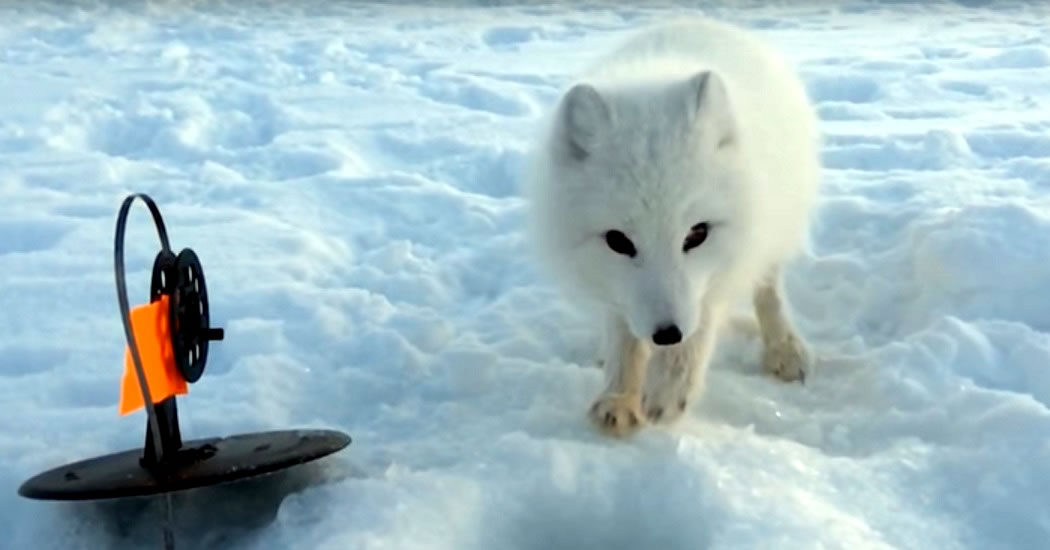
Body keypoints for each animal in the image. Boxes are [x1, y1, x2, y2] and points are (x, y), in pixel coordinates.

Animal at [520, 18, 823, 438]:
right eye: (617, 241)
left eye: (697, 234)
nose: (666, 334)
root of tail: (699, 19)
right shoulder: (618, 290)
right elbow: (623, 335)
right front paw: (620, 396)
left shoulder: (718, 274)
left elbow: (698, 330)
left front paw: (668, 389)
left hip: (774, 227)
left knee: (768, 289)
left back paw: (784, 348)